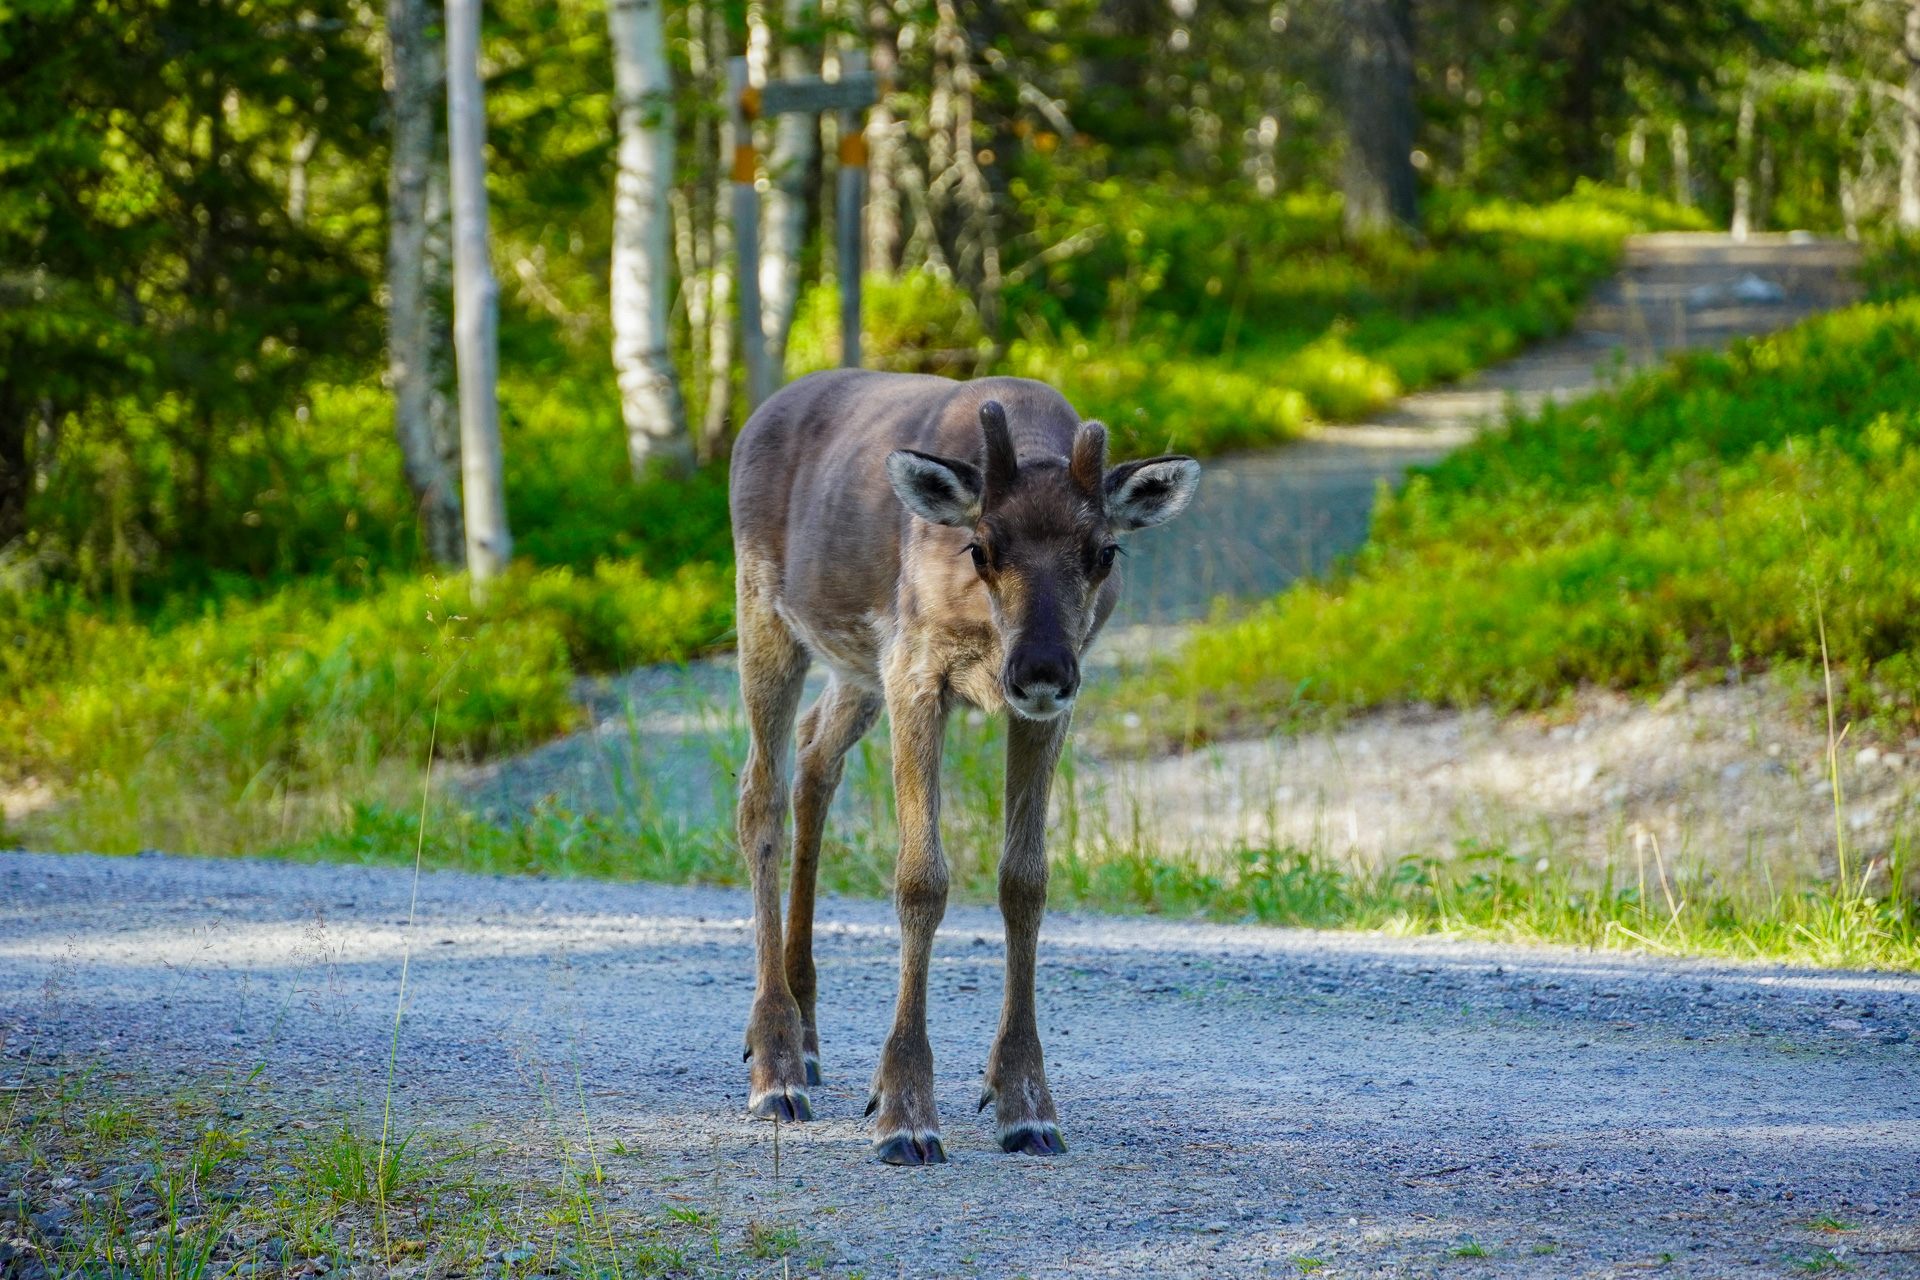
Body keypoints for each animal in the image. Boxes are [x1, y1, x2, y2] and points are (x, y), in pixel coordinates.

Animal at [727, 369, 1199, 1165]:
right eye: (980, 547)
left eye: (1105, 551)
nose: (1040, 667)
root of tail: (755, 418)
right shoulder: (916, 668)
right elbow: (921, 879)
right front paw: (905, 1112)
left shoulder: (1041, 707)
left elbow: (1025, 880)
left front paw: (1025, 1103)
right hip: (765, 609)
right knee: (758, 794)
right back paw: (777, 1067)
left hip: (856, 667)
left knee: (815, 759)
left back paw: (809, 1038)